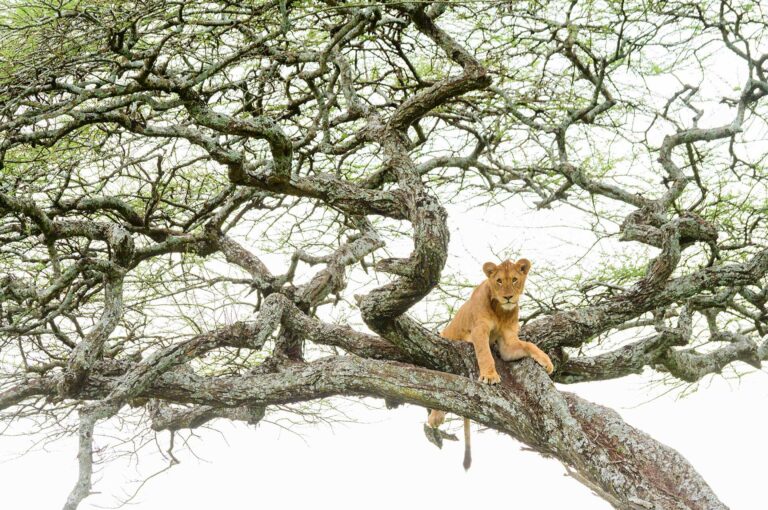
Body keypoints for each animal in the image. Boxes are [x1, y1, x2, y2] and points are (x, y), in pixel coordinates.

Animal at [428, 258, 556, 470]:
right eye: (499, 281)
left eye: (514, 279)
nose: (508, 297)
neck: (501, 311)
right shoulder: (479, 330)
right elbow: (485, 354)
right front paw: (489, 376)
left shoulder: (508, 342)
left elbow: (528, 345)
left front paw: (546, 361)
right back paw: (435, 417)